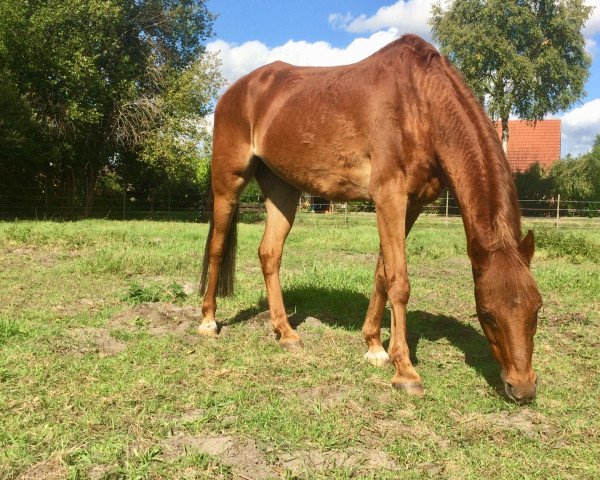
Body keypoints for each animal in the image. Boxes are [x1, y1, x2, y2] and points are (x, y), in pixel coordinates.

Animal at [200, 34, 544, 402]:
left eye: (537, 309)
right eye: (488, 315)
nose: (522, 387)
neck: (420, 102)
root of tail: (235, 91)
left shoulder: (412, 204)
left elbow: (382, 272)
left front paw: (374, 347)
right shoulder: (389, 197)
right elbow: (399, 282)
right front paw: (405, 370)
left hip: (283, 191)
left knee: (269, 253)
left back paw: (286, 333)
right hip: (228, 183)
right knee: (217, 248)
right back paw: (208, 321)